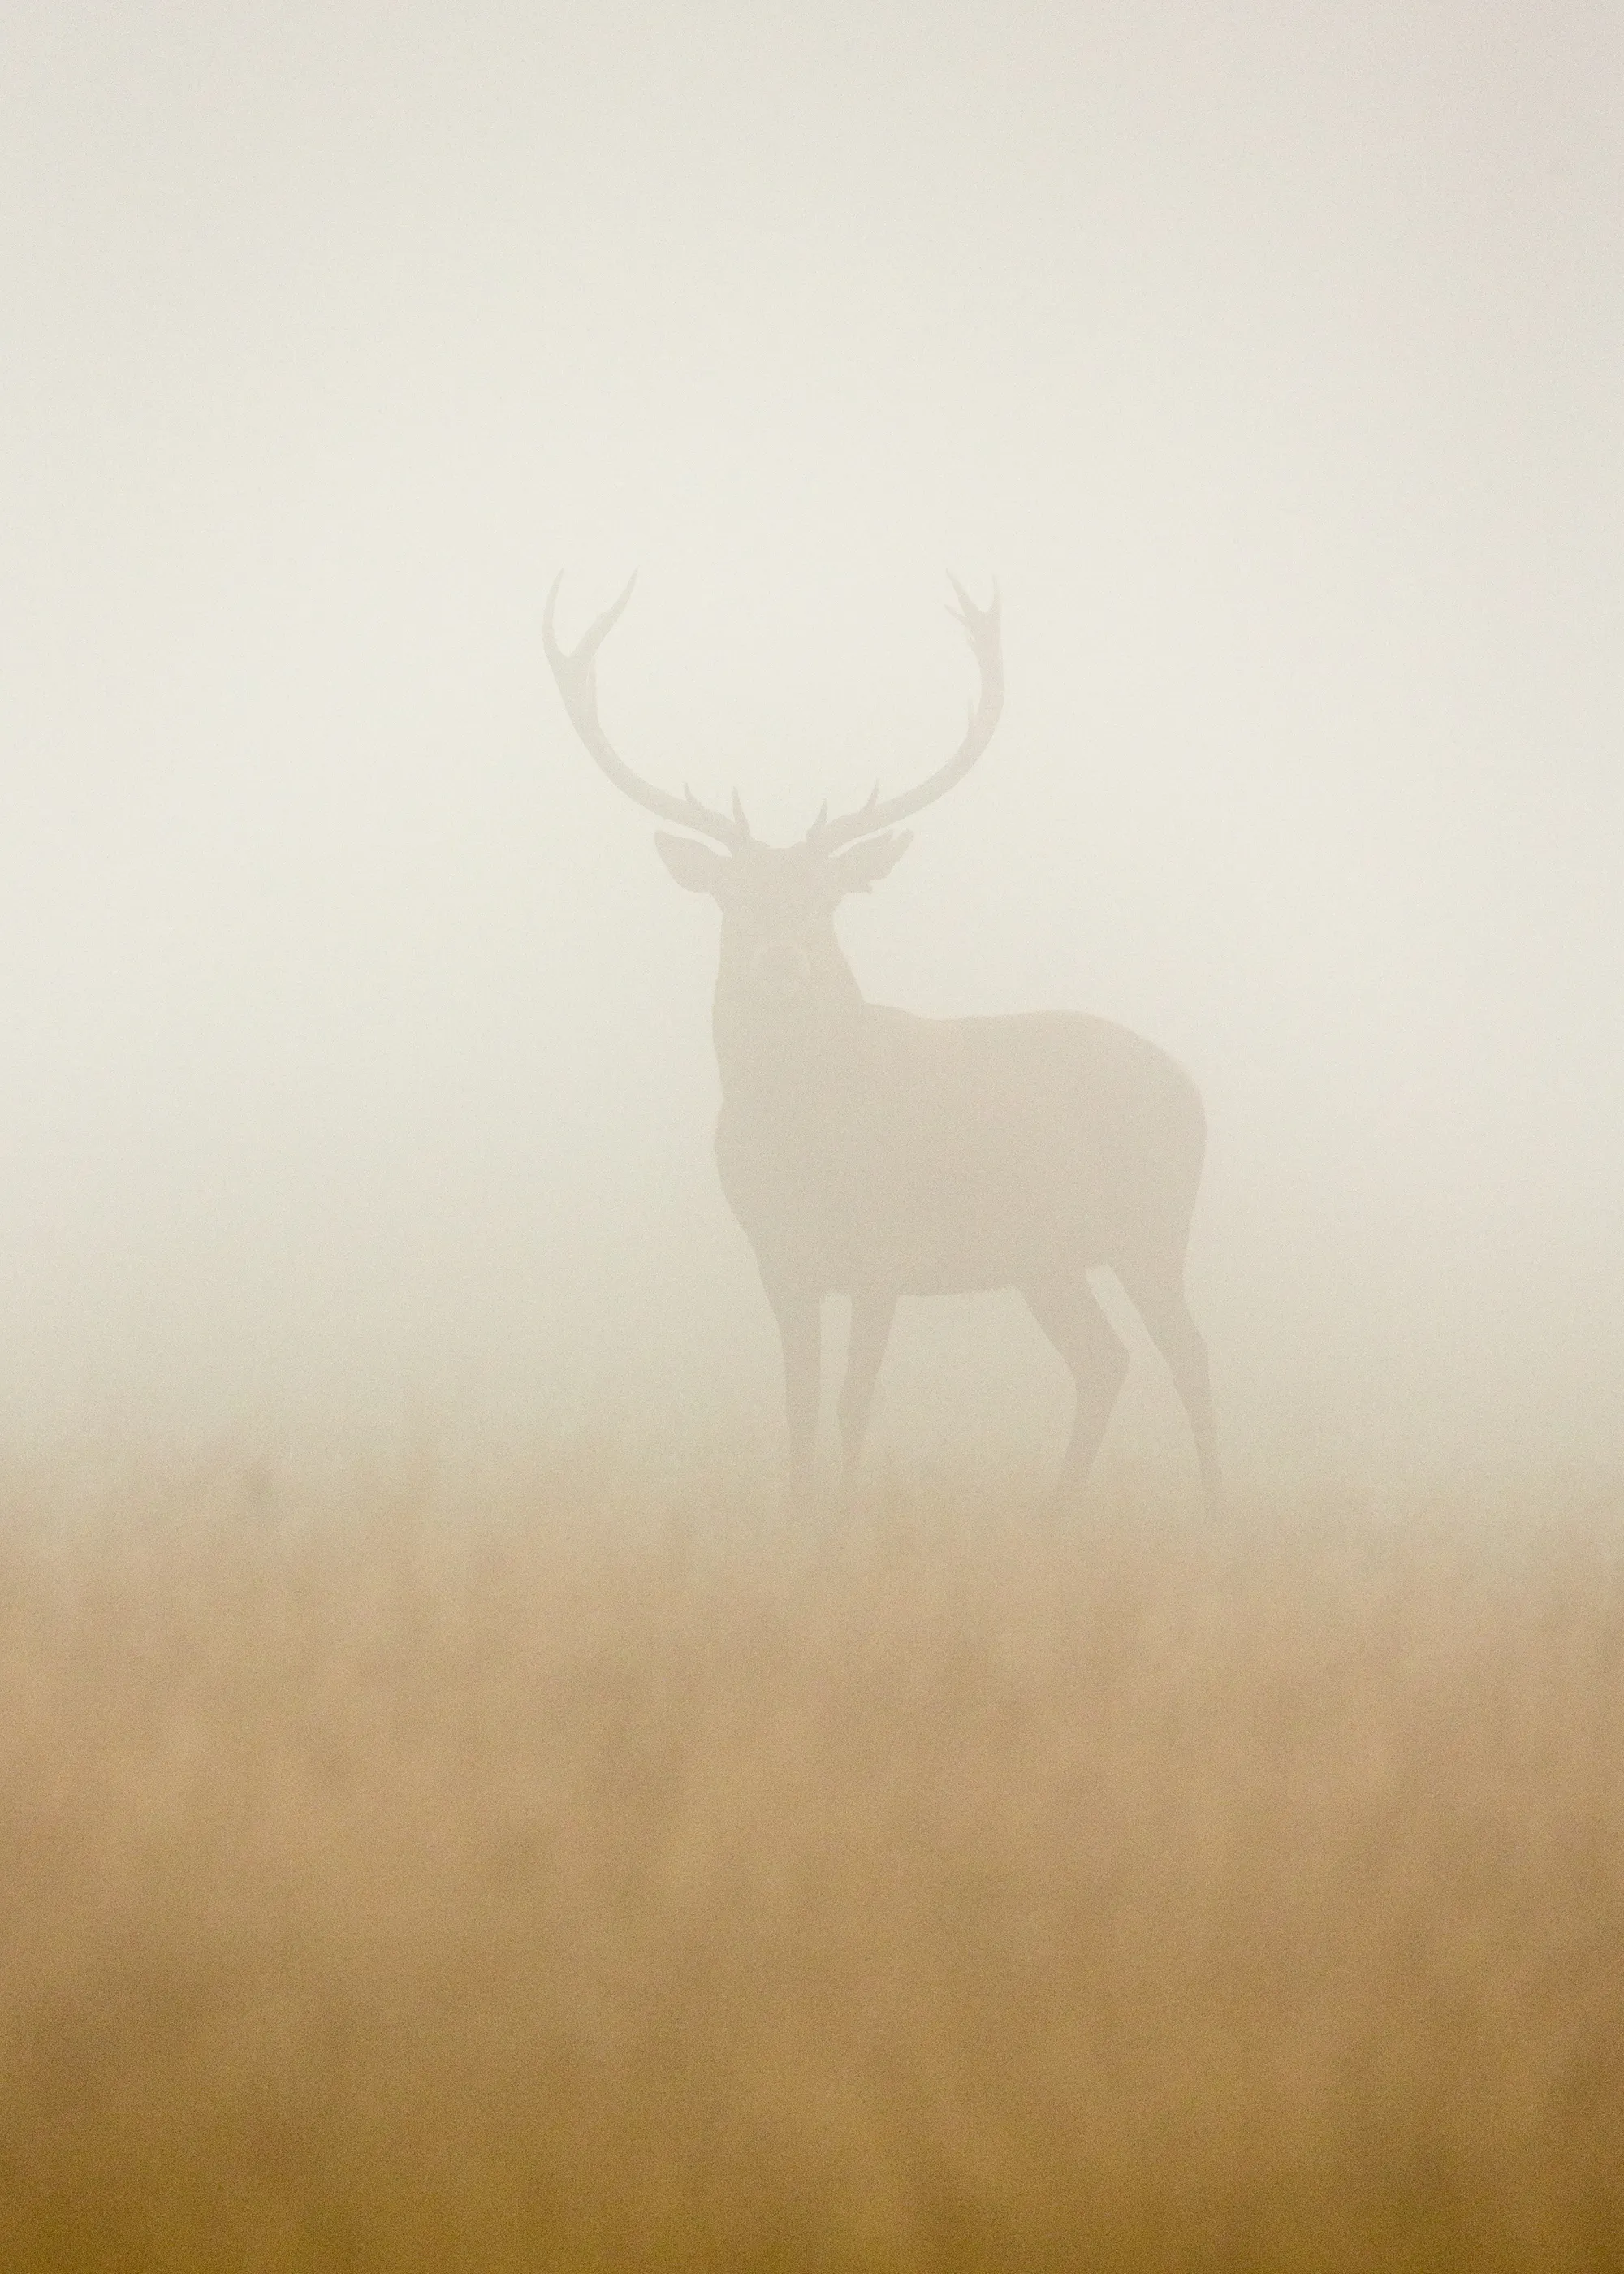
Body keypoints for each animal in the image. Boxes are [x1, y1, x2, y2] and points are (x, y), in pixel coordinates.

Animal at [542, 574, 1221, 1516]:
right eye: (731, 897)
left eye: (828, 898)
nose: (781, 959)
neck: (802, 1139)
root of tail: (1190, 1087)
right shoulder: (778, 1257)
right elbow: (797, 1401)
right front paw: (798, 1516)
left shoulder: (884, 1250)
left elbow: (852, 1399)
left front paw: (845, 1519)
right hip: (1045, 1256)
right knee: (1104, 1360)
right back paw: (1054, 1514)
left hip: (1153, 1221)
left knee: (1188, 1355)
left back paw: (1214, 1510)